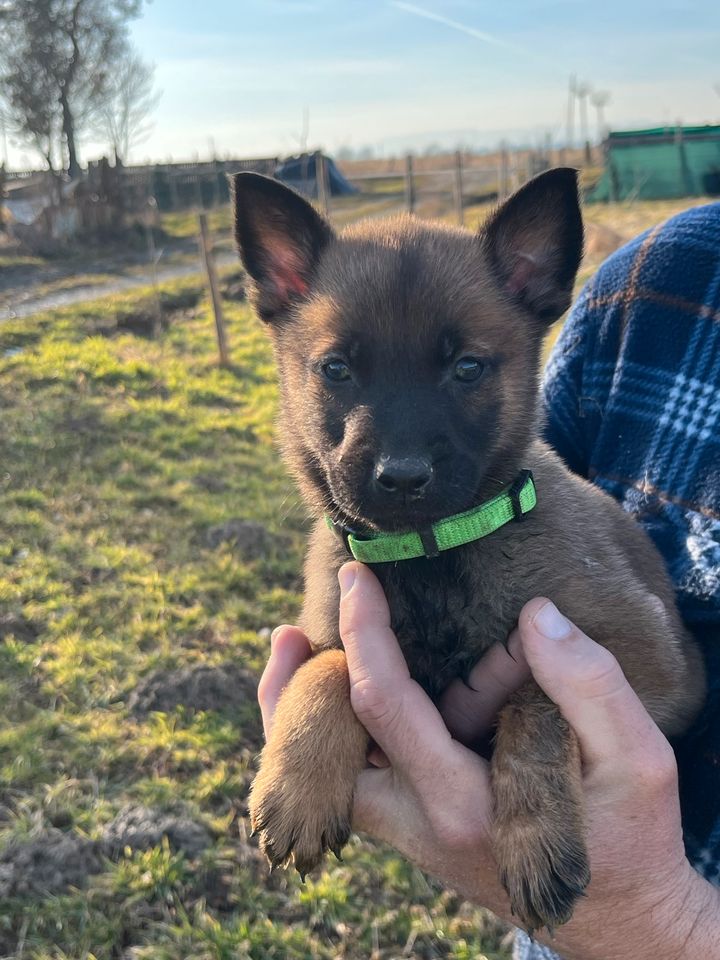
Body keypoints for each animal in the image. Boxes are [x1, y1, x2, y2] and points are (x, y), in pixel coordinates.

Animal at [233, 169, 704, 932]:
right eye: (335, 369)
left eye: (467, 368)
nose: (401, 477)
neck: (430, 554)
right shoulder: (336, 632)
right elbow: (328, 665)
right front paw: (297, 784)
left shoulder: (661, 667)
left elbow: (535, 700)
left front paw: (537, 837)